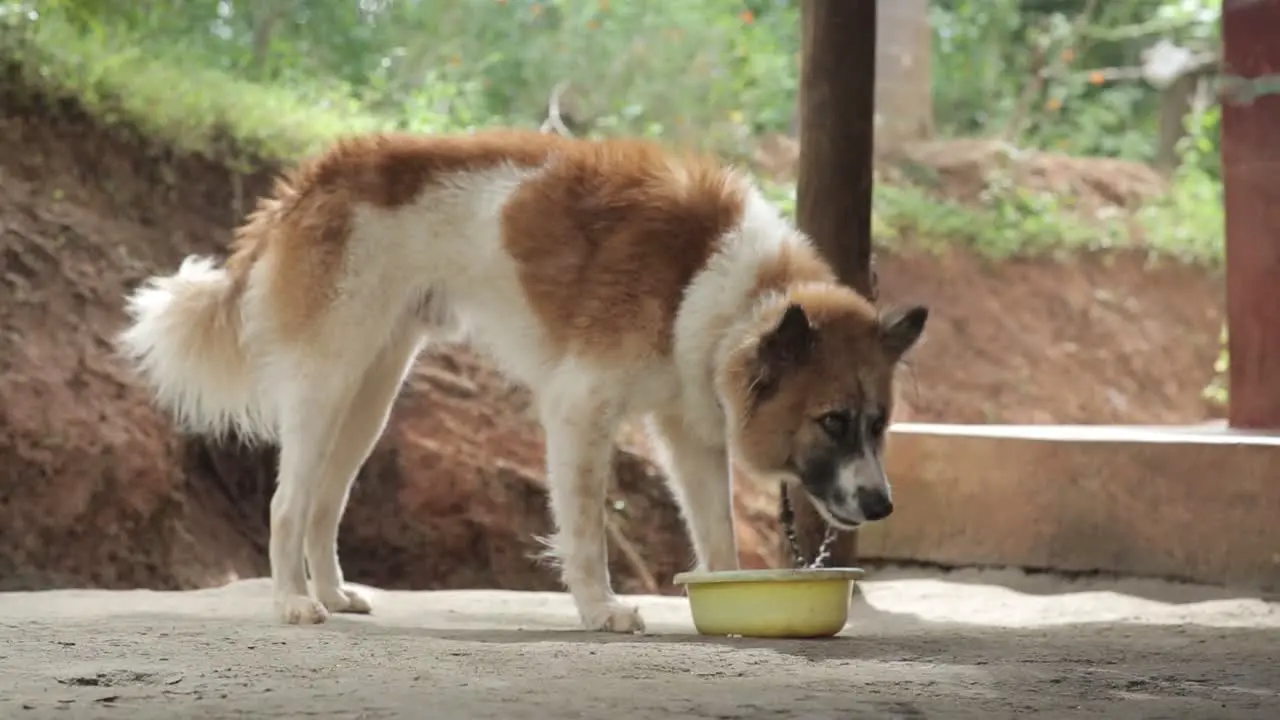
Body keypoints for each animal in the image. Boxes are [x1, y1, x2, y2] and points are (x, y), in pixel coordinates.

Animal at [115, 127, 926, 627]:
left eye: (879, 424)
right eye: (832, 421)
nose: (883, 505)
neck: (723, 284)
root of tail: (317, 173)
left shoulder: (690, 431)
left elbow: (717, 535)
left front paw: (726, 604)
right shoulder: (579, 410)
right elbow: (587, 530)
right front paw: (600, 611)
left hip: (370, 394)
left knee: (323, 503)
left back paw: (336, 593)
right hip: (326, 383)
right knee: (287, 503)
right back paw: (291, 602)